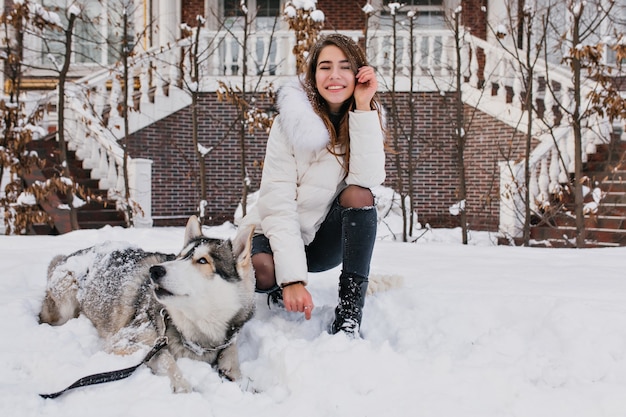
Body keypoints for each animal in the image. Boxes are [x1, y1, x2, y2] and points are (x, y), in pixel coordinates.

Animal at [39, 216, 254, 392]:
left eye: (202, 261)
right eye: (180, 257)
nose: (155, 270)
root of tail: (66, 257)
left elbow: (232, 352)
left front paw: (238, 377)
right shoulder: (125, 341)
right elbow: (166, 359)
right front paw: (183, 388)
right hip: (65, 304)